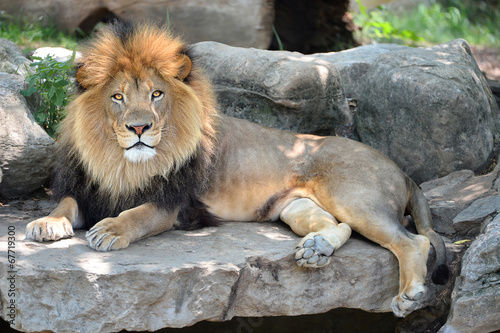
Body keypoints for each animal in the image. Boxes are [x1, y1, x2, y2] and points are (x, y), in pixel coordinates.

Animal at [25, 20, 450, 316]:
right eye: (117, 97)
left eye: (156, 94)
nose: (139, 128)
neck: (120, 164)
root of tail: (399, 168)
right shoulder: (87, 189)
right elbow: (65, 204)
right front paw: (46, 224)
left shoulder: (177, 205)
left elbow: (138, 214)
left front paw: (110, 230)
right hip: (295, 207)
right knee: (336, 225)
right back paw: (316, 249)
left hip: (354, 196)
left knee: (413, 241)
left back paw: (409, 295)